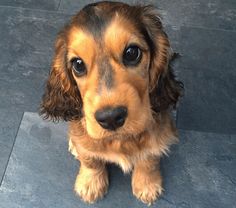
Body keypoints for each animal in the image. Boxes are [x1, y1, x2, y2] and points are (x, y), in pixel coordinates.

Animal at [39, 0, 183, 205]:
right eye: (78, 64)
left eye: (132, 53)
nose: (110, 118)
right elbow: (90, 159)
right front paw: (90, 183)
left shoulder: (160, 134)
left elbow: (150, 158)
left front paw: (147, 184)